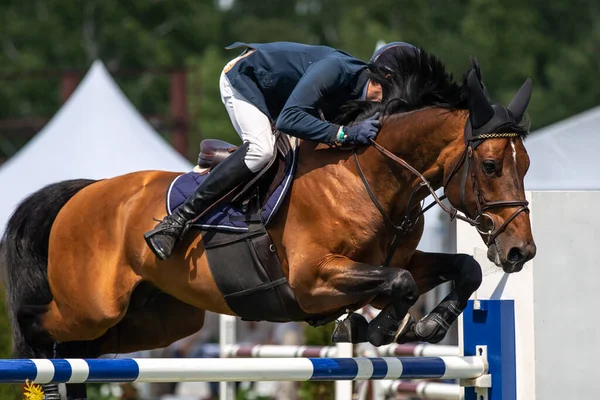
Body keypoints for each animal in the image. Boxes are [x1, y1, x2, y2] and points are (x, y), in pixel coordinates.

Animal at [0, 48, 536, 398]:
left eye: (526, 165)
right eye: (491, 165)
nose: (520, 252)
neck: (371, 178)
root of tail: (83, 191)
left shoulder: (392, 262)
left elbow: (461, 268)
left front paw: (428, 323)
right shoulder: (312, 279)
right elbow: (400, 282)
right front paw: (378, 327)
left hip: (159, 320)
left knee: (84, 352)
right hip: (93, 305)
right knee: (40, 328)